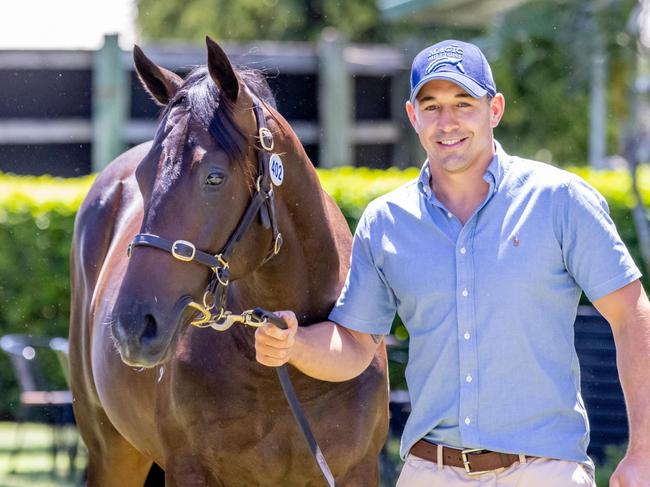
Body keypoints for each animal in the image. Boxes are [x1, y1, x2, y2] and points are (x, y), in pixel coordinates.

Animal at [68, 38, 388, 487]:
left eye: (214, 177)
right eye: (144, 176)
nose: (133, 327)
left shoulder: (357, 472)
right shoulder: (189, 469)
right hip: (111, 452)